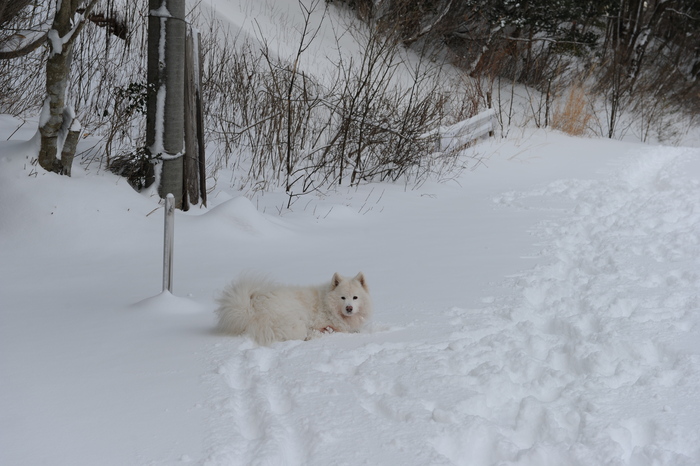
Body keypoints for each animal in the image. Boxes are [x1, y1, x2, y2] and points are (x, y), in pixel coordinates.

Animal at [216, 272, 374, 344]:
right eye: (343, 298)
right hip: (295, 321)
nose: (349, 308)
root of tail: (251, 308)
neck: (327, 304)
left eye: (355, 297)